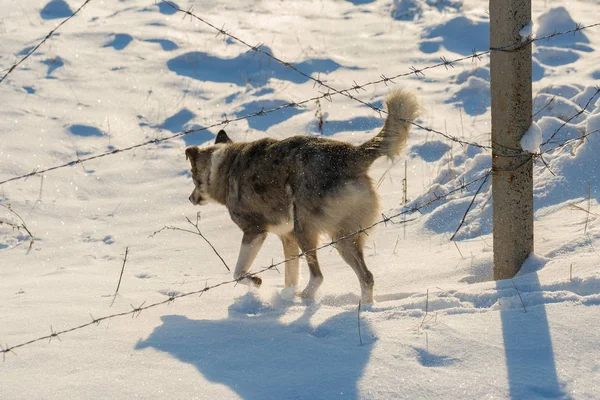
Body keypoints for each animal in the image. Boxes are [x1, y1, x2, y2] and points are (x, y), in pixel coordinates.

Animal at [185, 90, 420, 304]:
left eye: (193, 178)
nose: (189, 199)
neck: (222, 167)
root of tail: (350, 155)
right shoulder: (286, 237)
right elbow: (290, 274)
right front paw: (285, 297)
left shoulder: (255, 231)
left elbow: (237, 272)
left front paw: (257, 282)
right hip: (343, 236)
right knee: (366, 277)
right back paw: (364, 307)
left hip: (305, 229)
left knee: (319, 276)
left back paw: (304, 298)